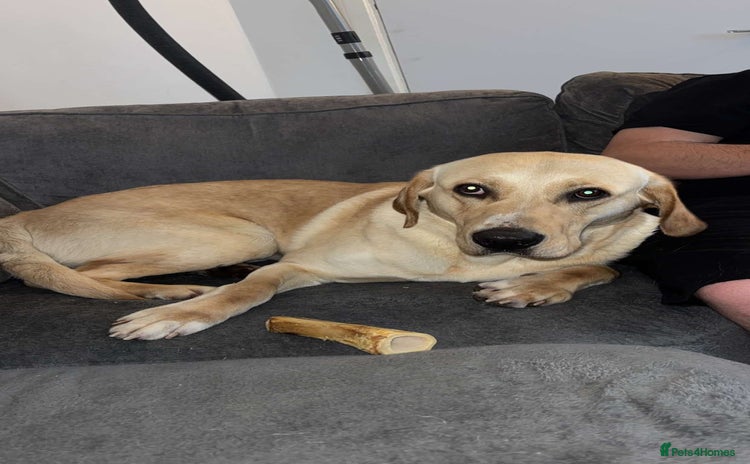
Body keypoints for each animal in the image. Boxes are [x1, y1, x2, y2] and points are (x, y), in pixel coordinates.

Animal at [0, 152, 706, 340]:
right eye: (472, 188)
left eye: (587, 194)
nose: (504, 237)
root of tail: (26, 215)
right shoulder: (301, 266)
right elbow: (251, 291)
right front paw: (185, 314)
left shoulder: (594, 258)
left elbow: (598, 272)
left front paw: (533, 288)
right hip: (238, 229)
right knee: (68, 274)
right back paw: (166, 294)